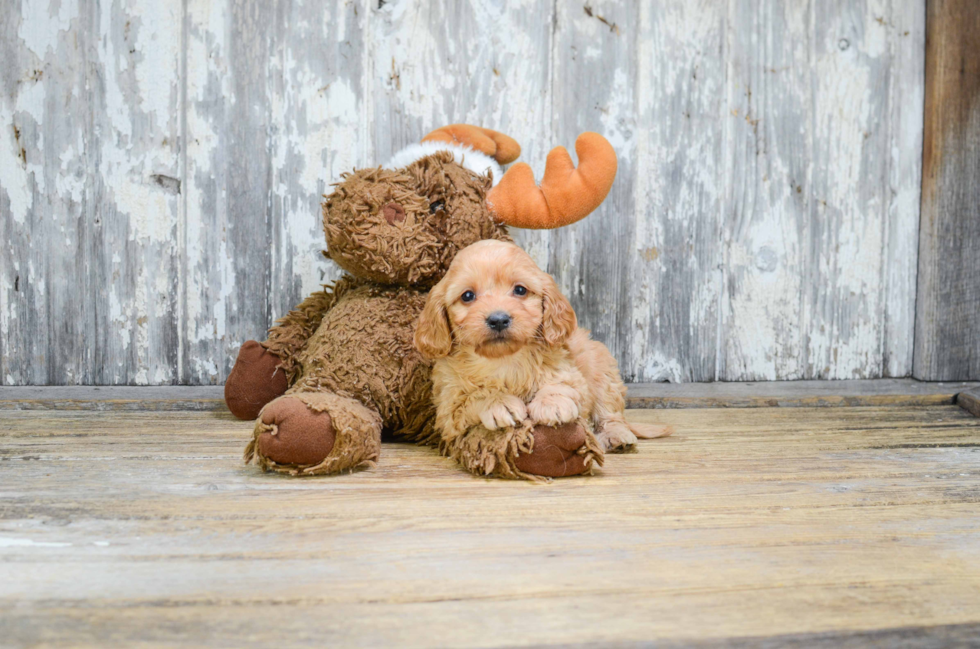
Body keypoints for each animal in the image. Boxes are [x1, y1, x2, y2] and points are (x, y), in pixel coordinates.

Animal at [410, 238, 668, 466]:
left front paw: (552, 403)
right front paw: (497, 402)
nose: (498, 319)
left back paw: (617, 437)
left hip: (602, 370)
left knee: (610, 414)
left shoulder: (572, 373)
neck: (504, 360)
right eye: (467, 296)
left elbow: (561, 383)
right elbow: (472, 397)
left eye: (520, 290)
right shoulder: (447, 407)